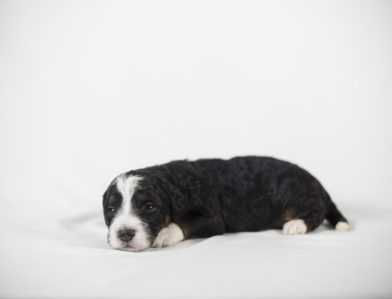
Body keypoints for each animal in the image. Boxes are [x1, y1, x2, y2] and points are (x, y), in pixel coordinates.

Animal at [102, 157, 350, 253]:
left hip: (298, 194)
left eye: (150, 207)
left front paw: (164, 234)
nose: (124, 233)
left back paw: (296, 225)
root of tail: (318, 183)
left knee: (317, 213)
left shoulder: (213, 218)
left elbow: (183, 222)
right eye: (111, 210)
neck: (176, 181)